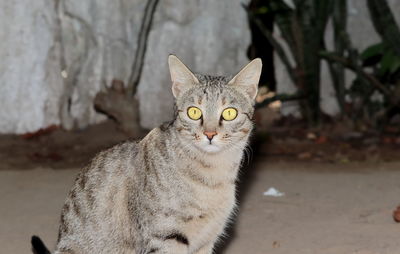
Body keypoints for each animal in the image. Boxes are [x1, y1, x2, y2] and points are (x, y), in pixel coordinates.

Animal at [32, 56, 262, 254]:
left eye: (229, 113)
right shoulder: (164, 238)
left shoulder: (206, 240)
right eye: (194, 112)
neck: (212, 175)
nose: (210, 134)